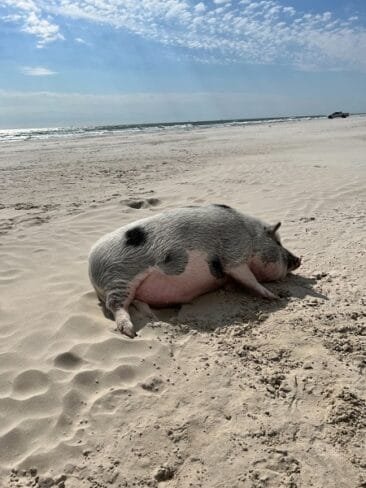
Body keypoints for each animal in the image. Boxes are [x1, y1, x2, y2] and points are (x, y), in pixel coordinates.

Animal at [88, 204, 300, 338]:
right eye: (278, 242)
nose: (298, 259)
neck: (251, 236)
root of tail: (90, 269)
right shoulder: (233, 255)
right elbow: (250, 278)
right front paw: (275, 297)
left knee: (136, 303)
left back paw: (152, 318)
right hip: (117, 278)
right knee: (116, 305)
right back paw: (131, 333)